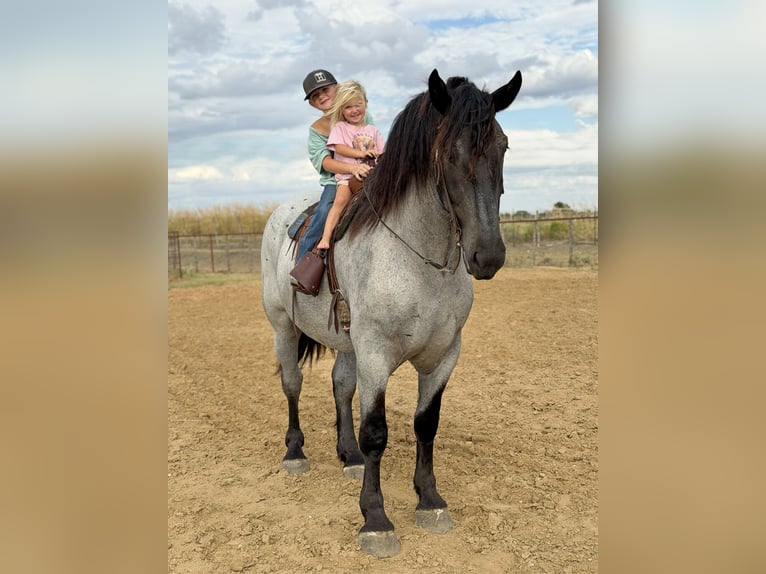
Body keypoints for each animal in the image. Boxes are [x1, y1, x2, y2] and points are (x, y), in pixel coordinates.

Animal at [260, 69, 522, 558]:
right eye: (451, 152)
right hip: (283, 327)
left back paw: (348, 456)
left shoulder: (443, 355)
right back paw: (295, 453)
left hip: (346, 341)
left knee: (341, 386)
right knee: (293, 384)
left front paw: (430, 499)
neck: (419, 260)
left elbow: (425, 424)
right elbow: (377, 432)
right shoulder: (376, 353)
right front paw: (376, 520)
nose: (488, 256)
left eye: (502, 145)